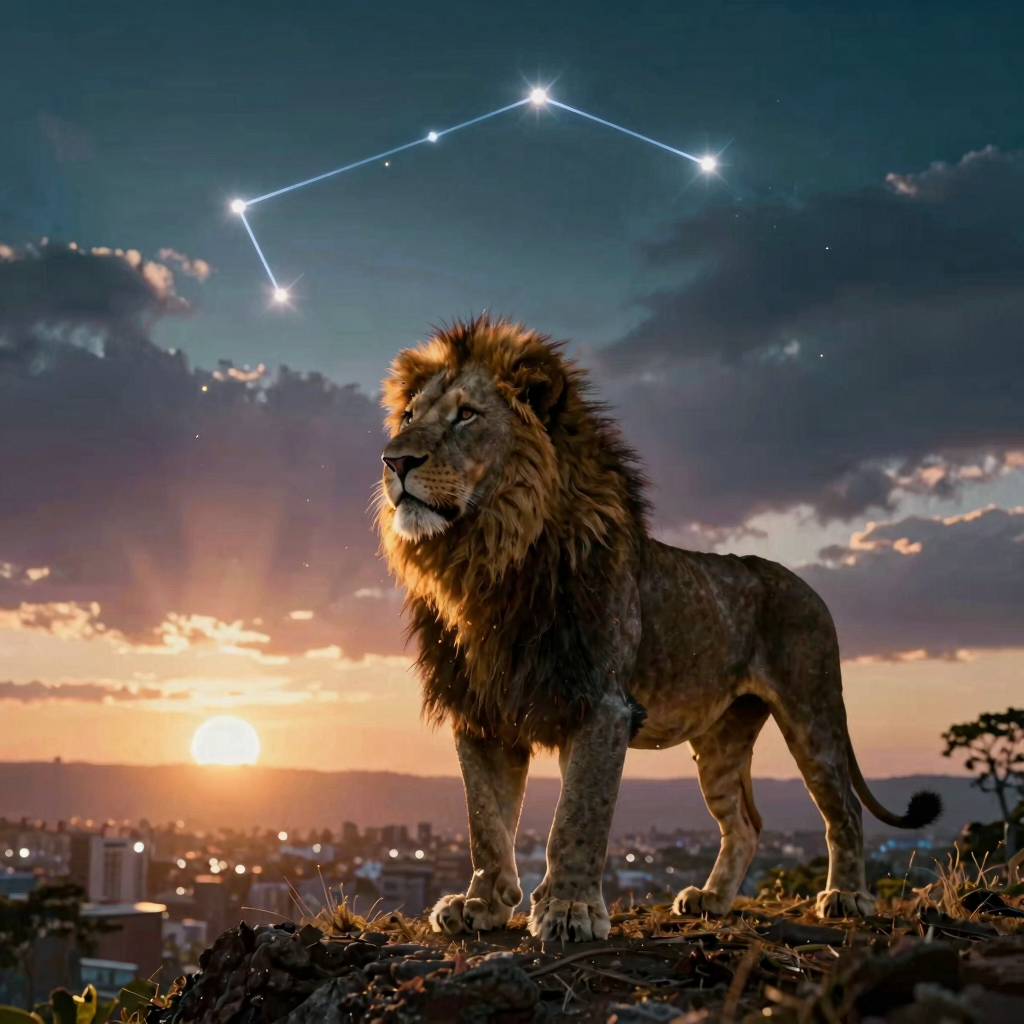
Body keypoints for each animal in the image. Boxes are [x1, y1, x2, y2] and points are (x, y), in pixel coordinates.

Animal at [375, 315, 941, 943]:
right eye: (408, 417)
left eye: (467, 415)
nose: (394, 461)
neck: (490, 561)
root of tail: (805, 585)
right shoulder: (482, 712)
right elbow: (486, 821)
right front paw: (482, 903)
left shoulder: (602, 703)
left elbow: (577, 817)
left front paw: (569, 909)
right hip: (720, 739)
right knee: (745, 822)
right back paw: (711, 900)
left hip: (812, 712)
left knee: (843, 807)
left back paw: (846, 896)